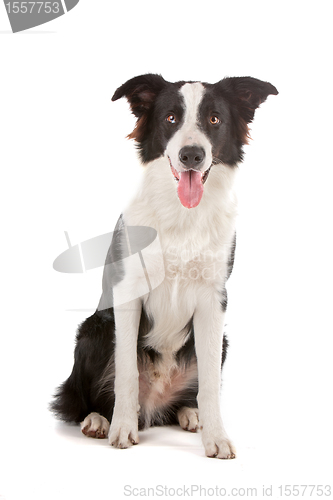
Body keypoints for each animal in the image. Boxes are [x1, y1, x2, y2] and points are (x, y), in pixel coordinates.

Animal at [52, 72, 276, 458]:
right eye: (170, 118)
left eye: (215, 119)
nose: (192, 155)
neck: (183, 217)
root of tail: (154, 404)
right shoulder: (127, 292)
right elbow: (126, 371)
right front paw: (122, 428)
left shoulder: (213, 300)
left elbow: (210, 384)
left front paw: (216, 437)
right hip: (94, 329)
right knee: (84, 397)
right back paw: (99, 420)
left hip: (222, 341)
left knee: (187, 397)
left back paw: (190, 414)